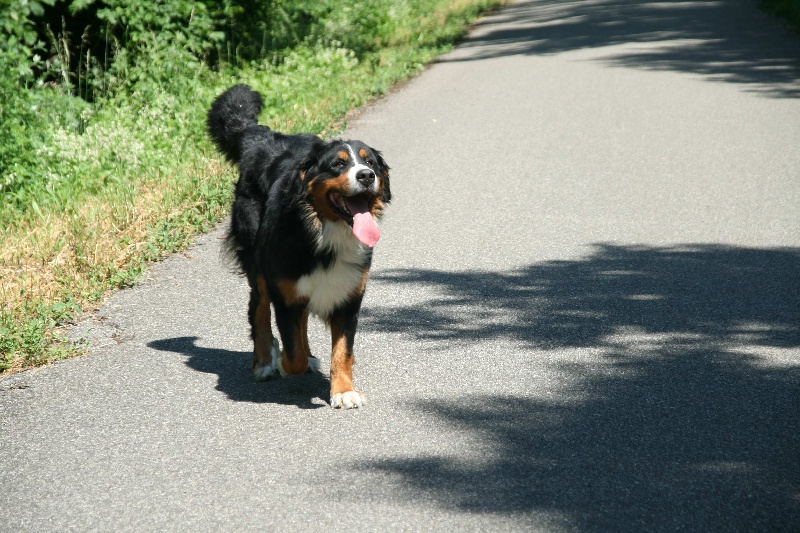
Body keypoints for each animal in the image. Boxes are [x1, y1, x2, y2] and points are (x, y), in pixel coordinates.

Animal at [208, 84, 392, 408]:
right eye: (338, 164)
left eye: (370, 162)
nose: (366, 176)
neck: (324, 230)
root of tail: (261, 138)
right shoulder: (285, 292)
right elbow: (292, 355)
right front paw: (283, 362)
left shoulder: (349, 295)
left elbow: (342, 350)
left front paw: (343, 389)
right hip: (258, 263)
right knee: (258, 309)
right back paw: (264, 361)